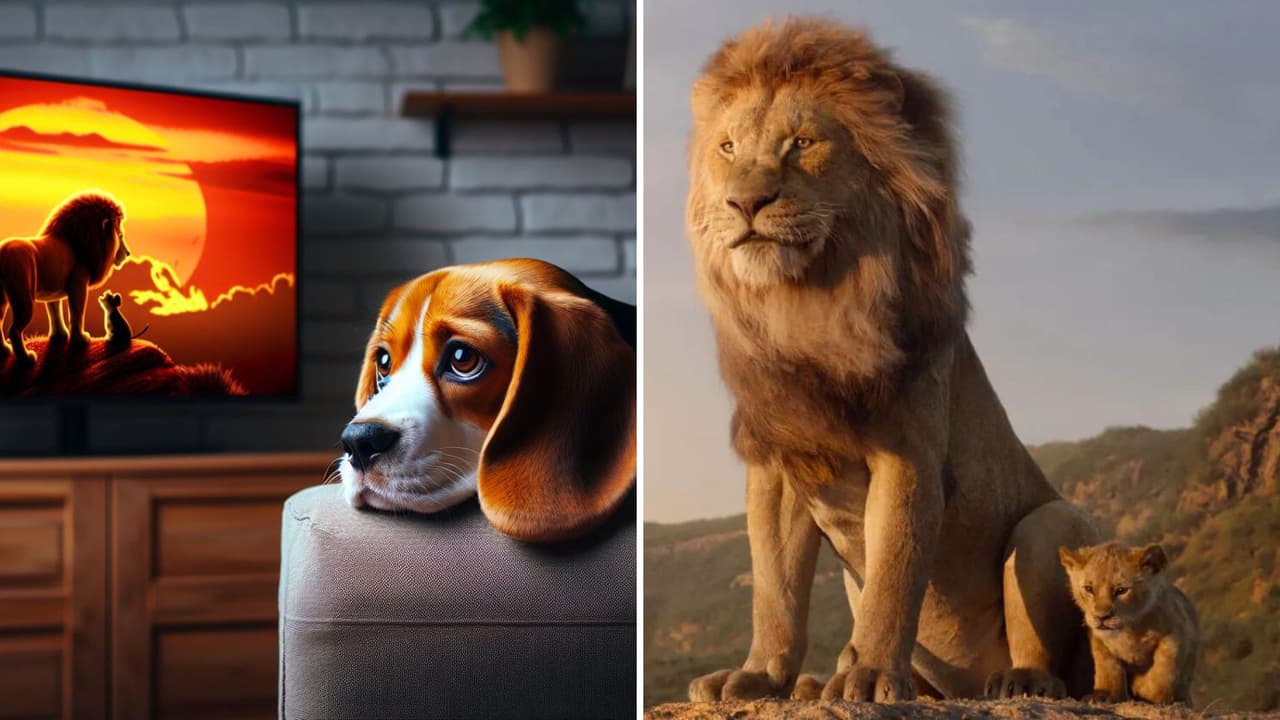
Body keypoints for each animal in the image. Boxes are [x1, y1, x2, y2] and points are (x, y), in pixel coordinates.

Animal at [0, 190, 131, 363]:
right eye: (120, 236)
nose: (128, 253)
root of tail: (2, 252)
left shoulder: (53, 293)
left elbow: (55, 312)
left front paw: (60, 335)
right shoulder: (78, 286)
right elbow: (77, 314)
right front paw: (80, 340)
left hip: (2, 300)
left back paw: (3, 350)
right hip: (23, 299)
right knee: (14, 330)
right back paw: (26, 358)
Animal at [683, 19, 1103, 703]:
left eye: (802, 143)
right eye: (727, 148)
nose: (745, 203)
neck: (807, 305)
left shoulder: (908, 454)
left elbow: (894, 575)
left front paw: (872, 675)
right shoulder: (778, 462)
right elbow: (775, 590)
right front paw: (759, 675)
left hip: (1051, 523)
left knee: (1053, 657)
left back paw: (1018, 681)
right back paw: (816, 685)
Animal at [1060, 542, 1200, 705]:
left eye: (1121, 590)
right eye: (1089, 589)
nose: (1101, 617)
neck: (1128, 630)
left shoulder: (1176, 631)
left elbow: (1164, 669)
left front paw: (1143, 688)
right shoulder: (1100, 641)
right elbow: (1107, 668)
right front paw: (1105, 694)